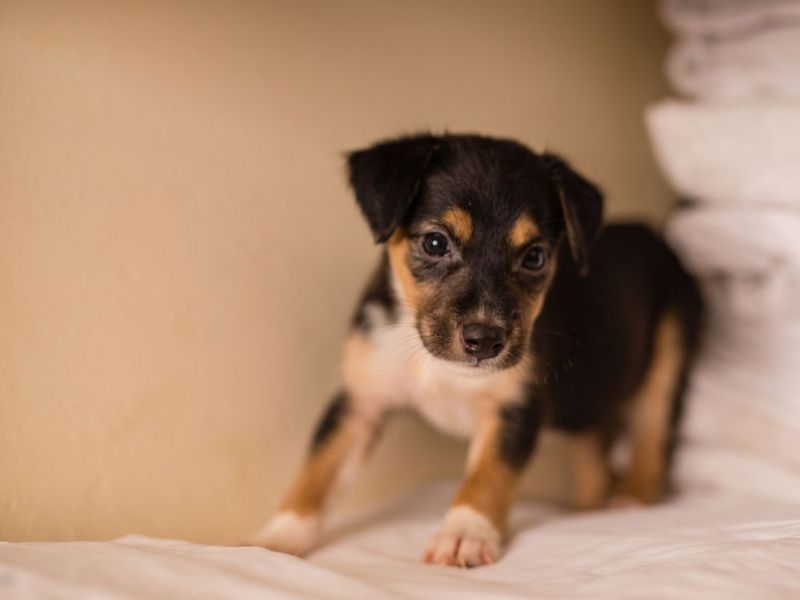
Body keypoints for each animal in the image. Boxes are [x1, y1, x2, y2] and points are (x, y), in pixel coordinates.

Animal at [250, 133, 703, 567]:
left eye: (534, 257)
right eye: (435, 243)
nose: (484, 340)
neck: (432, 361)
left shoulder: (515, 408)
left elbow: (486, 476)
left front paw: (464, 533)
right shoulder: (360, 400)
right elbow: (318, 471)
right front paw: (276, 539)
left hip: (671, 353)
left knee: (651, 441)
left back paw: (630, 503)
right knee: (594, 460)